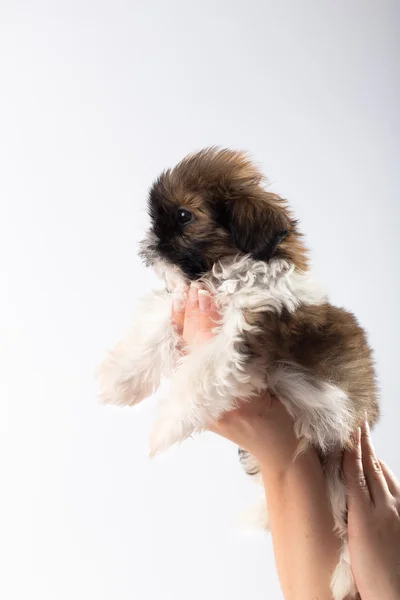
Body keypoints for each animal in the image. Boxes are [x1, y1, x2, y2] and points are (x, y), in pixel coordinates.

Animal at [99, 146, 378, 600]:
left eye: (183, 216)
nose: (150, 242)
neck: (228, 272)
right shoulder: (187, 303)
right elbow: (158, 324)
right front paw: (121, 378)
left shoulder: (241, 338)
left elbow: (196, 378)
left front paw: (163, 429)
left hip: (338, 467)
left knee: (342, 527)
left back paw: (340, 577)